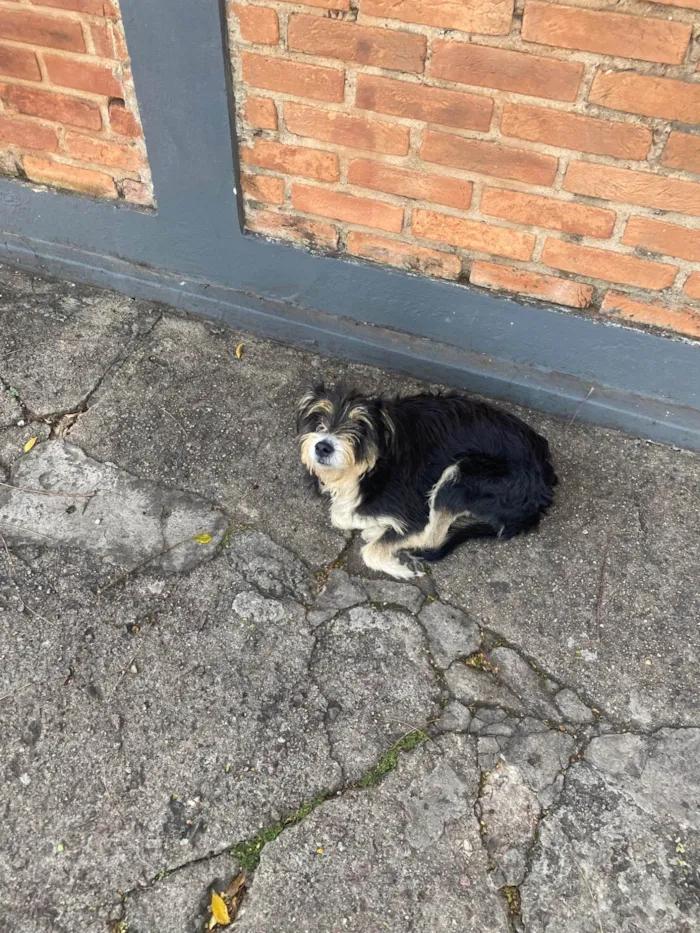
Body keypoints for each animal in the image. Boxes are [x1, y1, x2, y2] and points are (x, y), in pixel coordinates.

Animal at [296, 382, 556, 580]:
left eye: (360, 426)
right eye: (319, 419)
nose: (323, 446)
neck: (373, 464)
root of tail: (542, 492)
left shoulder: (414, 511)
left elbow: (365, 541)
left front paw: (398, 566)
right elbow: (340, 516)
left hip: (463, 475)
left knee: (433, 537)